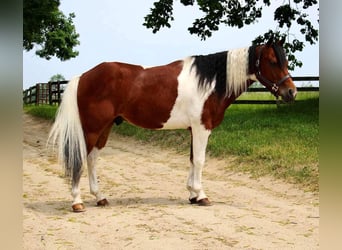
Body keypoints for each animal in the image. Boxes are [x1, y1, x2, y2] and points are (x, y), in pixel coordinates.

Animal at [48, 38, 296, 212]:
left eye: (285, 61)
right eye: (273, 61)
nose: (291, 92)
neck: (210, 82)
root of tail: (83, 76)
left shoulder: (194, 129)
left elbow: (192, 159)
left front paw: (192, 195)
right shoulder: (202, 128)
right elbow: (200, 160)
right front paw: (202, 195)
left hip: (105, 128)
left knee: (92, 159)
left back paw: (100, 198)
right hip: (92, 129)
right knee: (81, 158)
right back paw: (77, 202)